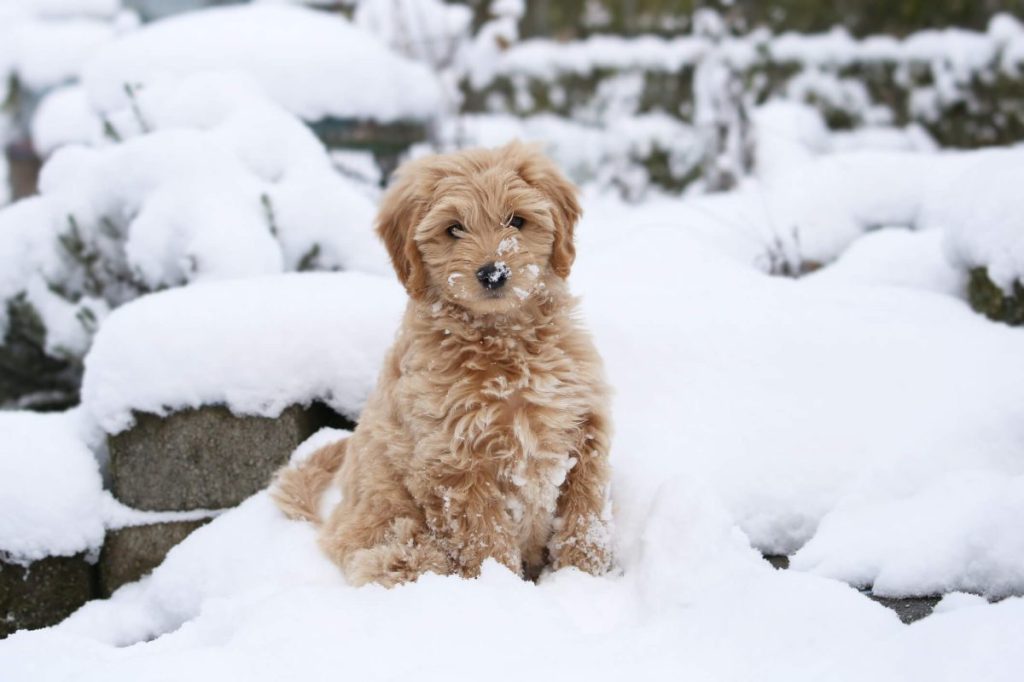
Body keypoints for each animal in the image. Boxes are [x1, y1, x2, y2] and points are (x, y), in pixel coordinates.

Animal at [268, 139, 610, 585]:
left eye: (516, 221)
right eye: (454, 228)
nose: (493, 273)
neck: (505, 345)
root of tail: (330, 526)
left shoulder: (584, 424)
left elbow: (586, 507)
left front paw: (583, 574)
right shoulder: (454, 462)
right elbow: (485, 536)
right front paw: (501, 587)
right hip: (402, 540)